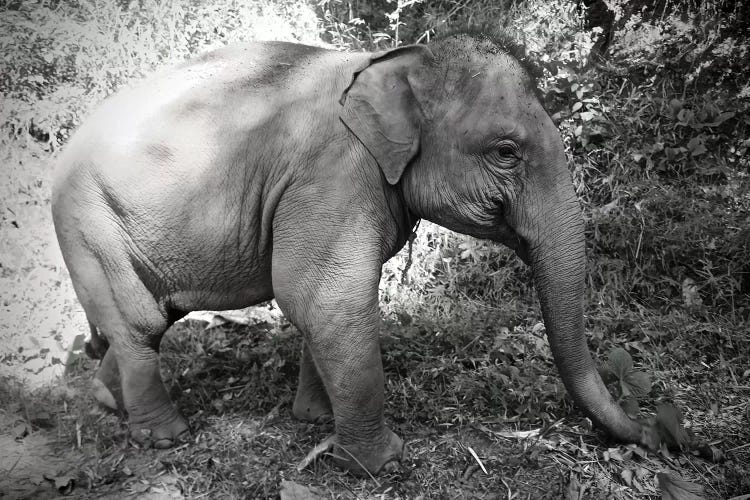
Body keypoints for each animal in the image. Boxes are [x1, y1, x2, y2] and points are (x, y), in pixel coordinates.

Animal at [50, 32, 644, 476]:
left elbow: (322, 306)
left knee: (150, 319)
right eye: (506, 151)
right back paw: (164, 437)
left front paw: (315, 421)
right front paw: (379, 463)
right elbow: (322, 296)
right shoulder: (332, 173)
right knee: (141, 321)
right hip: (89, 225)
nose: (652, 430)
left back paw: (109, 402)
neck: (396, 63)